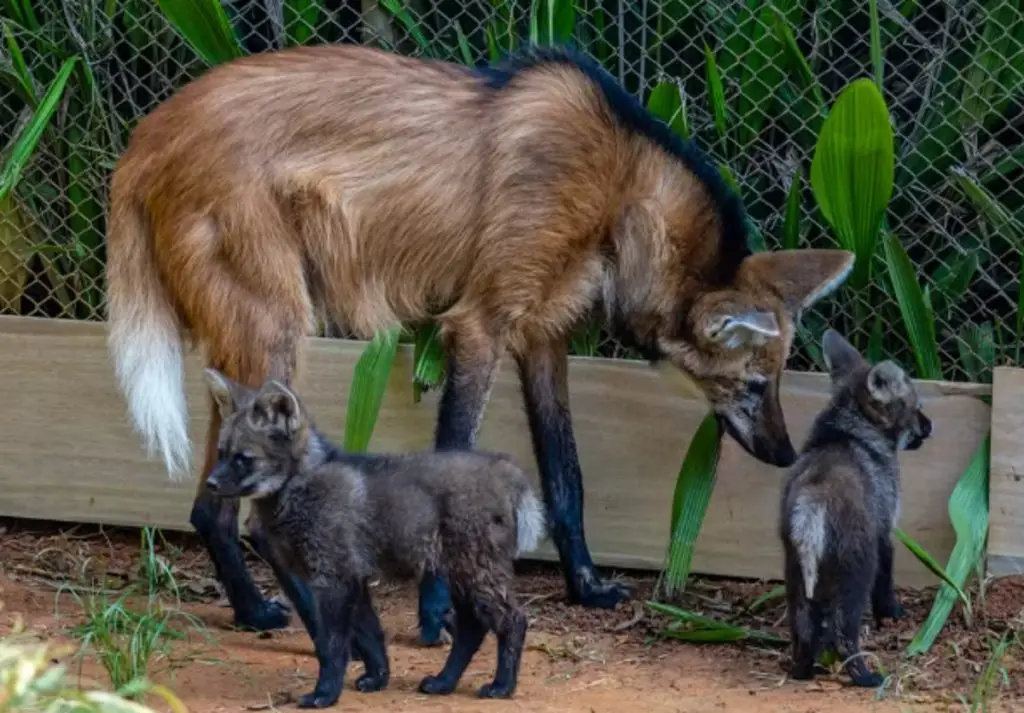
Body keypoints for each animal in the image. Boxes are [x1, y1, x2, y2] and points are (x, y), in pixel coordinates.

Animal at [105, 42, 855, 641]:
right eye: (753, 384)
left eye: (776, 381)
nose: (786, 452)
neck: (619, 197)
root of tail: (145, 136)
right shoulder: (479, 324)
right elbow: (456, 460)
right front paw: (438, 616)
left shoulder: (543, 335)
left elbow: (567, 475)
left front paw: (586, 587)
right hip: (276, 330)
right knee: (236, 506)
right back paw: (283, 615)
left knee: (209, 504)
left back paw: (258, 609)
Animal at [201, 368, 545, 707]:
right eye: (221, 453)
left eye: (242, 458)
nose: (210, 484)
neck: (297, 487)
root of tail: (507, 469)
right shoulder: (354, 578)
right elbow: (370, 637)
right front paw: (377, 678)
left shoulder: (334, 579)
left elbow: (333, 646)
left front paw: (324, 694)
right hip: (457, 574)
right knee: (473, 628)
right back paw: (444, 681)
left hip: (474, 573)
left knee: (513, 620)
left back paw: (502, 686)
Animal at [779, 329, 932, 687]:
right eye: (917, 407)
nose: (930, 427)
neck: (850, 432)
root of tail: (812, 499)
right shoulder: (885, 528)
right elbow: (887, 578)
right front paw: (892, 613)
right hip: (856, 568)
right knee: (844, 631)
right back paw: (866, 676)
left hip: (796, 571)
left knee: (804, 629)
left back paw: (802, 671)